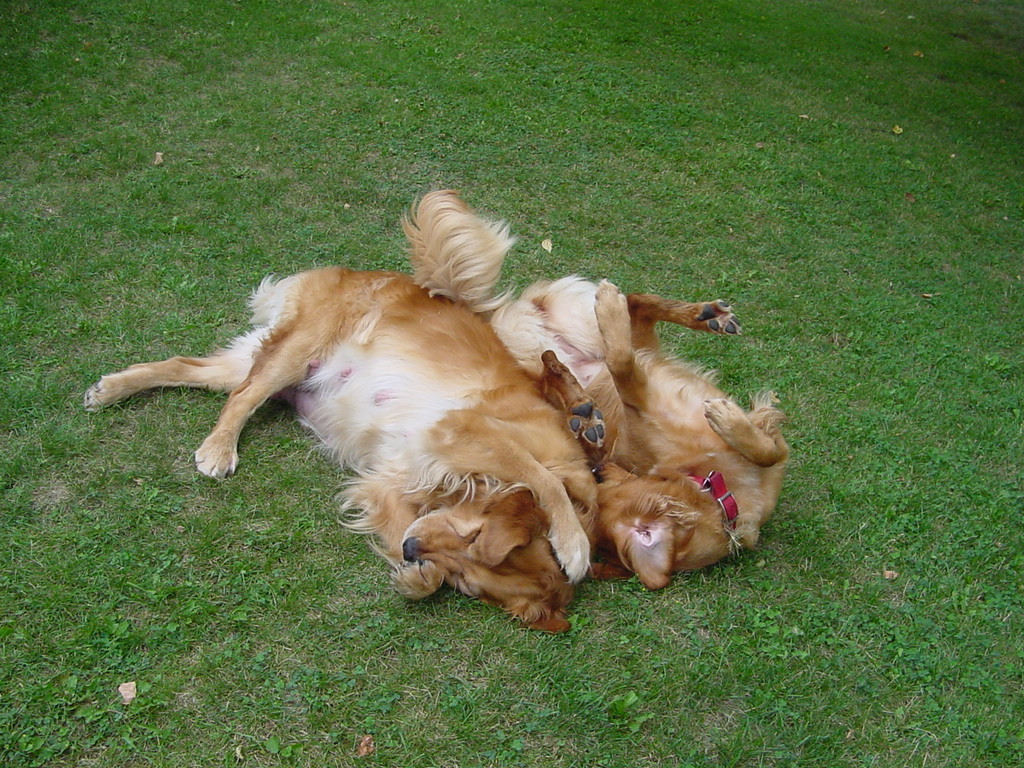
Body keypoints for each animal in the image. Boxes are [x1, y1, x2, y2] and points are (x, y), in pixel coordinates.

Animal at [83, 192, 598, 630]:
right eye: (473, 540)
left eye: (469, 582)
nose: (412, 551)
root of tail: (346, 270)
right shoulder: (463, 428)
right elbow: (542, 479)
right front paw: (573, 545)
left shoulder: (388, 484)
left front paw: (417, 577)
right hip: (297, 350)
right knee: (242, 397)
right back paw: (218, 449)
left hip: (258, 360)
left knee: (186, 367)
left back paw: (110, 389)